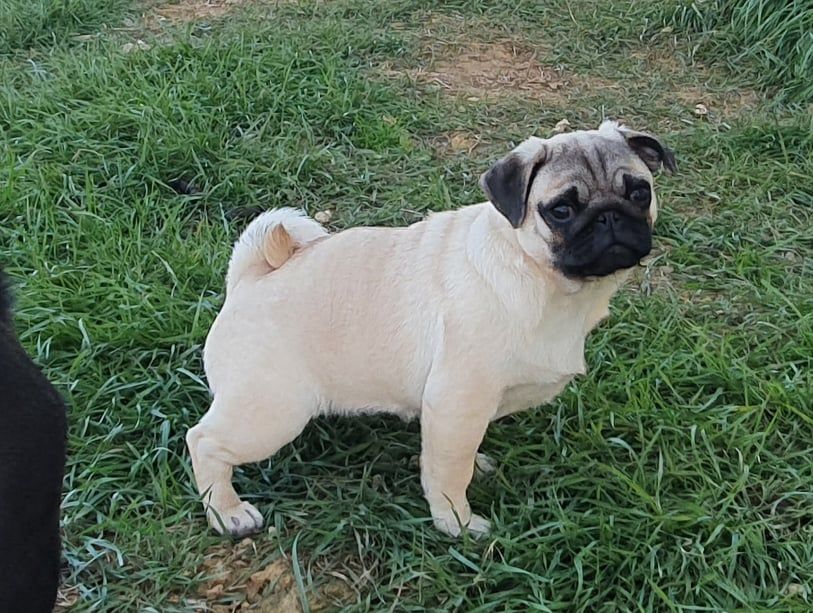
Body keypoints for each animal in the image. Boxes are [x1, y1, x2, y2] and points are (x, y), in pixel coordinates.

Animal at [187, 118, 676, 536]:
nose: (610, 216)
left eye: (640, 193)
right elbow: (449, 471)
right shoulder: (457, 401)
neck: (542, 280)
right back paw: (228, 513)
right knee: (204, 442)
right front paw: (456, 522)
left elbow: (458, 452)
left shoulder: (461, 415)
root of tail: (248, 280)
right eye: (561, 210)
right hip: (273, 410)